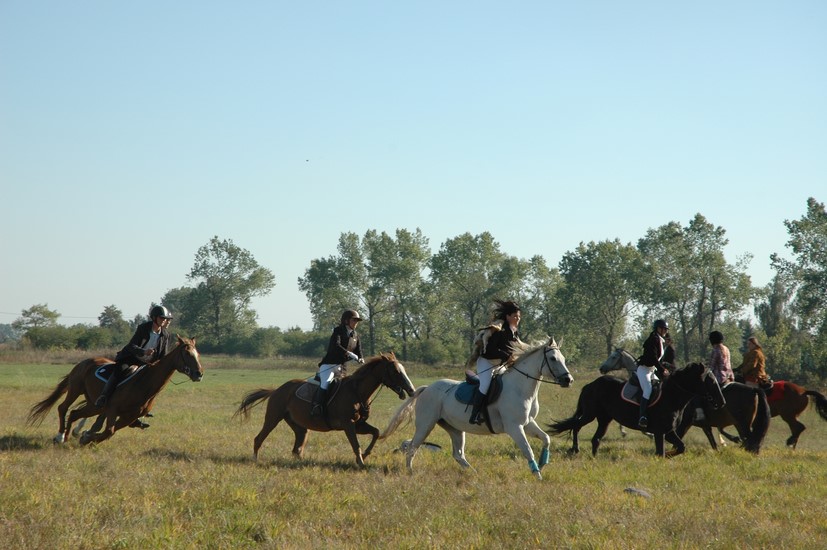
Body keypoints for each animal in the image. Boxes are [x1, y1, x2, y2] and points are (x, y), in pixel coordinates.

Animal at [27, 336, 204, 448]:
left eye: (198, 354)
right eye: (187, 353)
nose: (199, 374)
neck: (145, 383)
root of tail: (84, 362)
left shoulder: (128, 417)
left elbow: (108, 432)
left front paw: (86, 437)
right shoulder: (113, 409)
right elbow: (108, 431)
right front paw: (86, 437)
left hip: (94, 404)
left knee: (74, 413)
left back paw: (68, 436)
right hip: (75, 389)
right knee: (63, 408)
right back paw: (60, 436)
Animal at [234, 356, 418, 468]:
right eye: (395, 371)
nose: (411, 390)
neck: (357, 392)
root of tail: (276, 390)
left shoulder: (358, 424)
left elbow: (376, 432)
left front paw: (365, 455)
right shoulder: (348, 424)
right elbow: (355, 444)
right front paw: (361, 462)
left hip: (300, 427)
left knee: (297, 448)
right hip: (273, 417)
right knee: (259, 438)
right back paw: (255, 460)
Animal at [384, 338, 572, 480]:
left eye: (563, 358)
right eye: (553, 358)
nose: (568, 380)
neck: (521, 388)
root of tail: (427, 388)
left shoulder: (527, 423)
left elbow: (546, 439)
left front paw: (542, 464)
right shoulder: (514, 427)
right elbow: (527, 450)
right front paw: (538, 476)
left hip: (454, 428)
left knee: (458, 454)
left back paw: (474, 473)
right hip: (426, 424)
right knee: (412, 447)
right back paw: (410, 472)